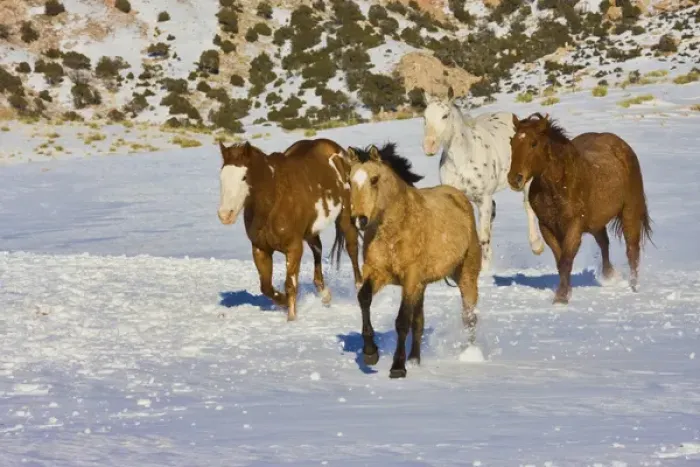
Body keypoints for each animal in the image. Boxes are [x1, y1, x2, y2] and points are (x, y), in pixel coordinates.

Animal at [217, 139, 363, 321]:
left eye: (244, 177)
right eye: (222, 176)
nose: (225, 215)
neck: (274, 199)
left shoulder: (293, 248)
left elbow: (290, 284)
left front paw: (292, 318)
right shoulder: (260, 249)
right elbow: (266, 287)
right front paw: (285, 303)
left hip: (345, 219)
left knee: (352, 249)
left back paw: (359, 288)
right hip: (310, 232)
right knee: (318, 251)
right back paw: (325, 295)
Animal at [346, 143, 481, 379]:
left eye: (374, 179)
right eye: (349, 181)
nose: (359, 220)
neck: (394, 230)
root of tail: (459, 196)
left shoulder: (410, 279)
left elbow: (402, 321)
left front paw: (397, 367)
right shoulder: (378, 272)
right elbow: (364, 298)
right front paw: (371, 353)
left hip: (466, 276)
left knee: (469, 317)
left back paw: (470, 354)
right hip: (422, 286)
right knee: (419, 322)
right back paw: (414, 359)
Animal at [421, 87, 545, 272]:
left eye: (445, 115)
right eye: (425, 117)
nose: (429, 146)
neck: (463, 161)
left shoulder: (484, 198)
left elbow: (483, 236)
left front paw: (484, 268)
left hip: (524, 180)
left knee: (527, 205)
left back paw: (536, 245)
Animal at [508, 113, 653, 304]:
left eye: (534, 143)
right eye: (512, 142)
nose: (514, 179)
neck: (559, 186)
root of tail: (623, 147)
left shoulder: (574, 226)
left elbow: (566, 259)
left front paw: (561, 297)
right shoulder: (547, 227)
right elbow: (560, 260)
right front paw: (564, 292)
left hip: (629, 212)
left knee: (632, 250)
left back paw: (633, 287)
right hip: (596, 223)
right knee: (604, 243)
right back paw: (609, 275)